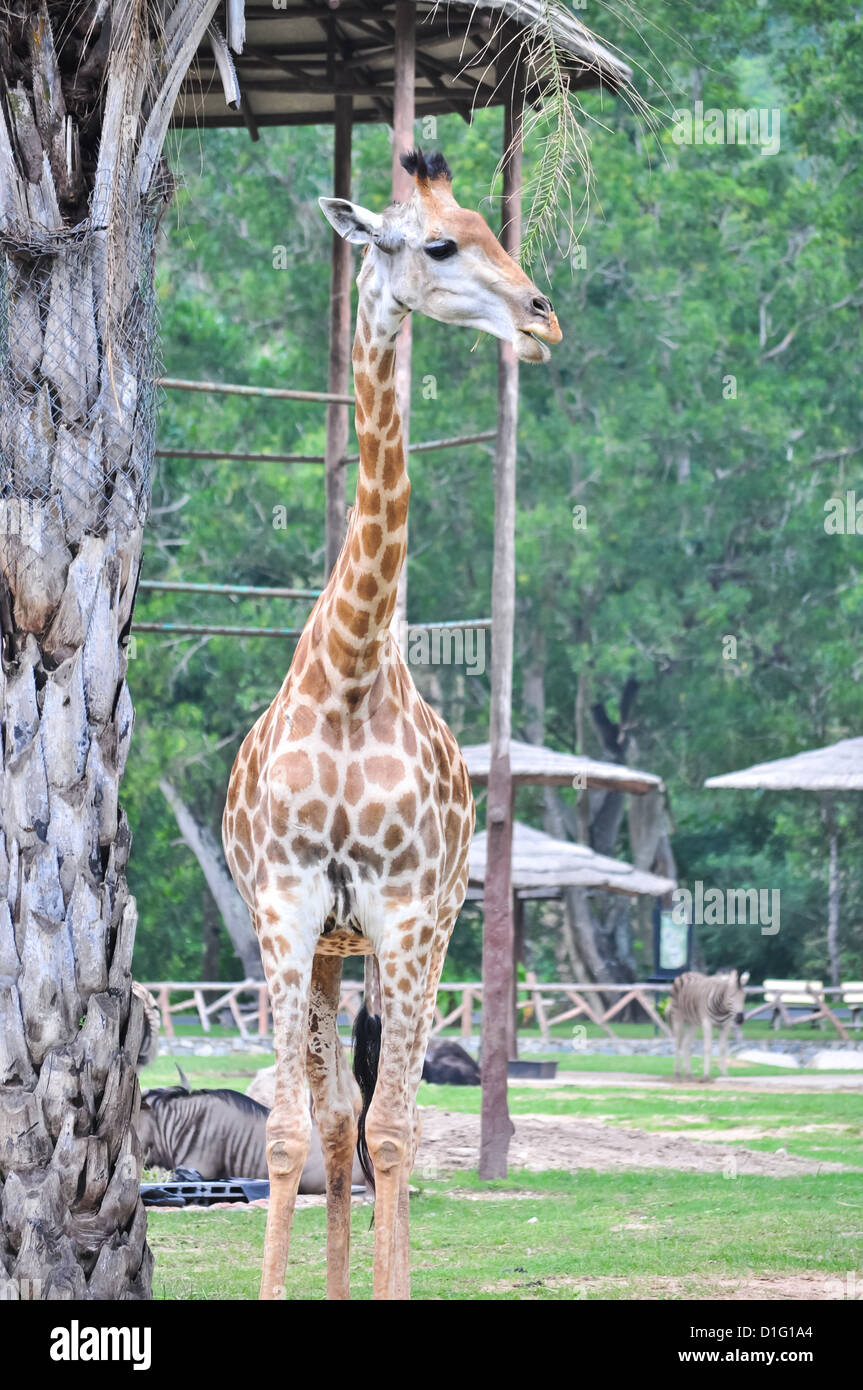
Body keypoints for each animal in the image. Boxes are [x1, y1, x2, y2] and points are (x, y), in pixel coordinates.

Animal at [218, 146, 561, 1295]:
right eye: (441, 243)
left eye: (495, 226)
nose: (540, 317)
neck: (353, 671)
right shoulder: (282, 911)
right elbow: (291, 1135)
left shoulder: (407, 915)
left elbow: (399, 1135)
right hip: (330, 950)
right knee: (333, 1120)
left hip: (426, 929)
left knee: (380, 1121)